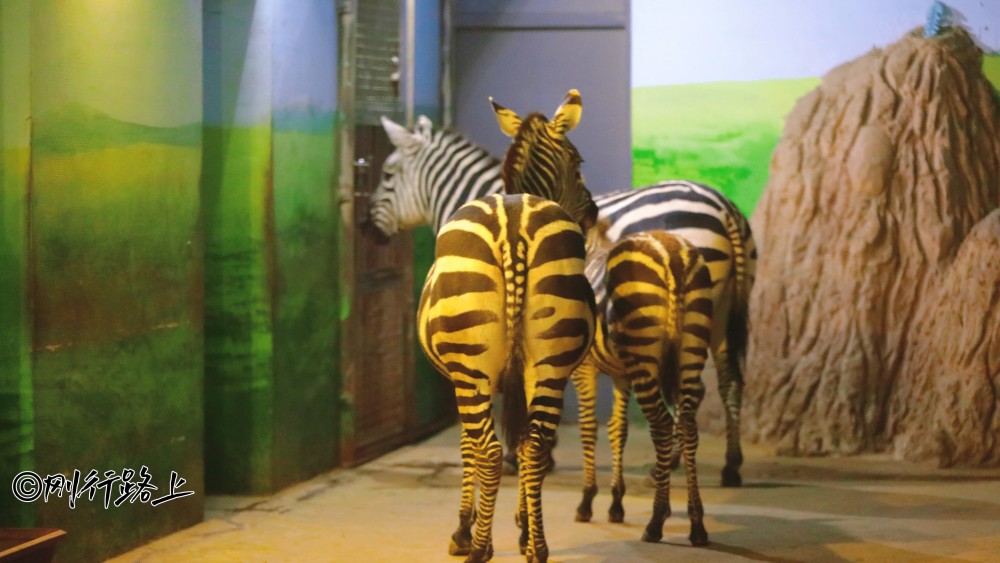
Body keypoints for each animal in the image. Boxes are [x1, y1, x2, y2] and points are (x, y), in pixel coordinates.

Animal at [376, 115, 756, 494]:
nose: (369, 229)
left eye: (387, 175)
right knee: (729, 381)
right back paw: (731, 465)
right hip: (719, 314)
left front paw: (519, 457)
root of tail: (725, 206)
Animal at [420, 90, 596, 560]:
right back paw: (538, 546)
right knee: (532, 445)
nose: (592, 216)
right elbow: (524, 441)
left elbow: (468, 447)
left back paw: (481, 546)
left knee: (489, 448)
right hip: (550, 363)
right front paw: (522, 528)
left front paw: (464, 530)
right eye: (578, 161)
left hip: (471, 366)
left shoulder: (457, 377)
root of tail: (514, 224)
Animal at [596, 229, 716, 548]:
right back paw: (696, 525)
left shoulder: (586, 367)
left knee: (661, 426)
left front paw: (591, 504)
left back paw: (655, 522)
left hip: (645, 356)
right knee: (686, 426)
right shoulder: (621, 375)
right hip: (690, 350)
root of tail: (672, 254)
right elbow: (617, 429)